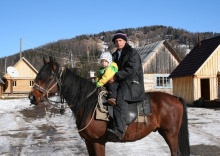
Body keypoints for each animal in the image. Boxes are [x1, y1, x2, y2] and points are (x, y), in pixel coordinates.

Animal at [28, 56, 190, 155]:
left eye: (49, 77)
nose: (32, 97)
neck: (87, 103)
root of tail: (174, 98)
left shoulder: (98, 142)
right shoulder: (89, 142)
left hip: (171, 134)